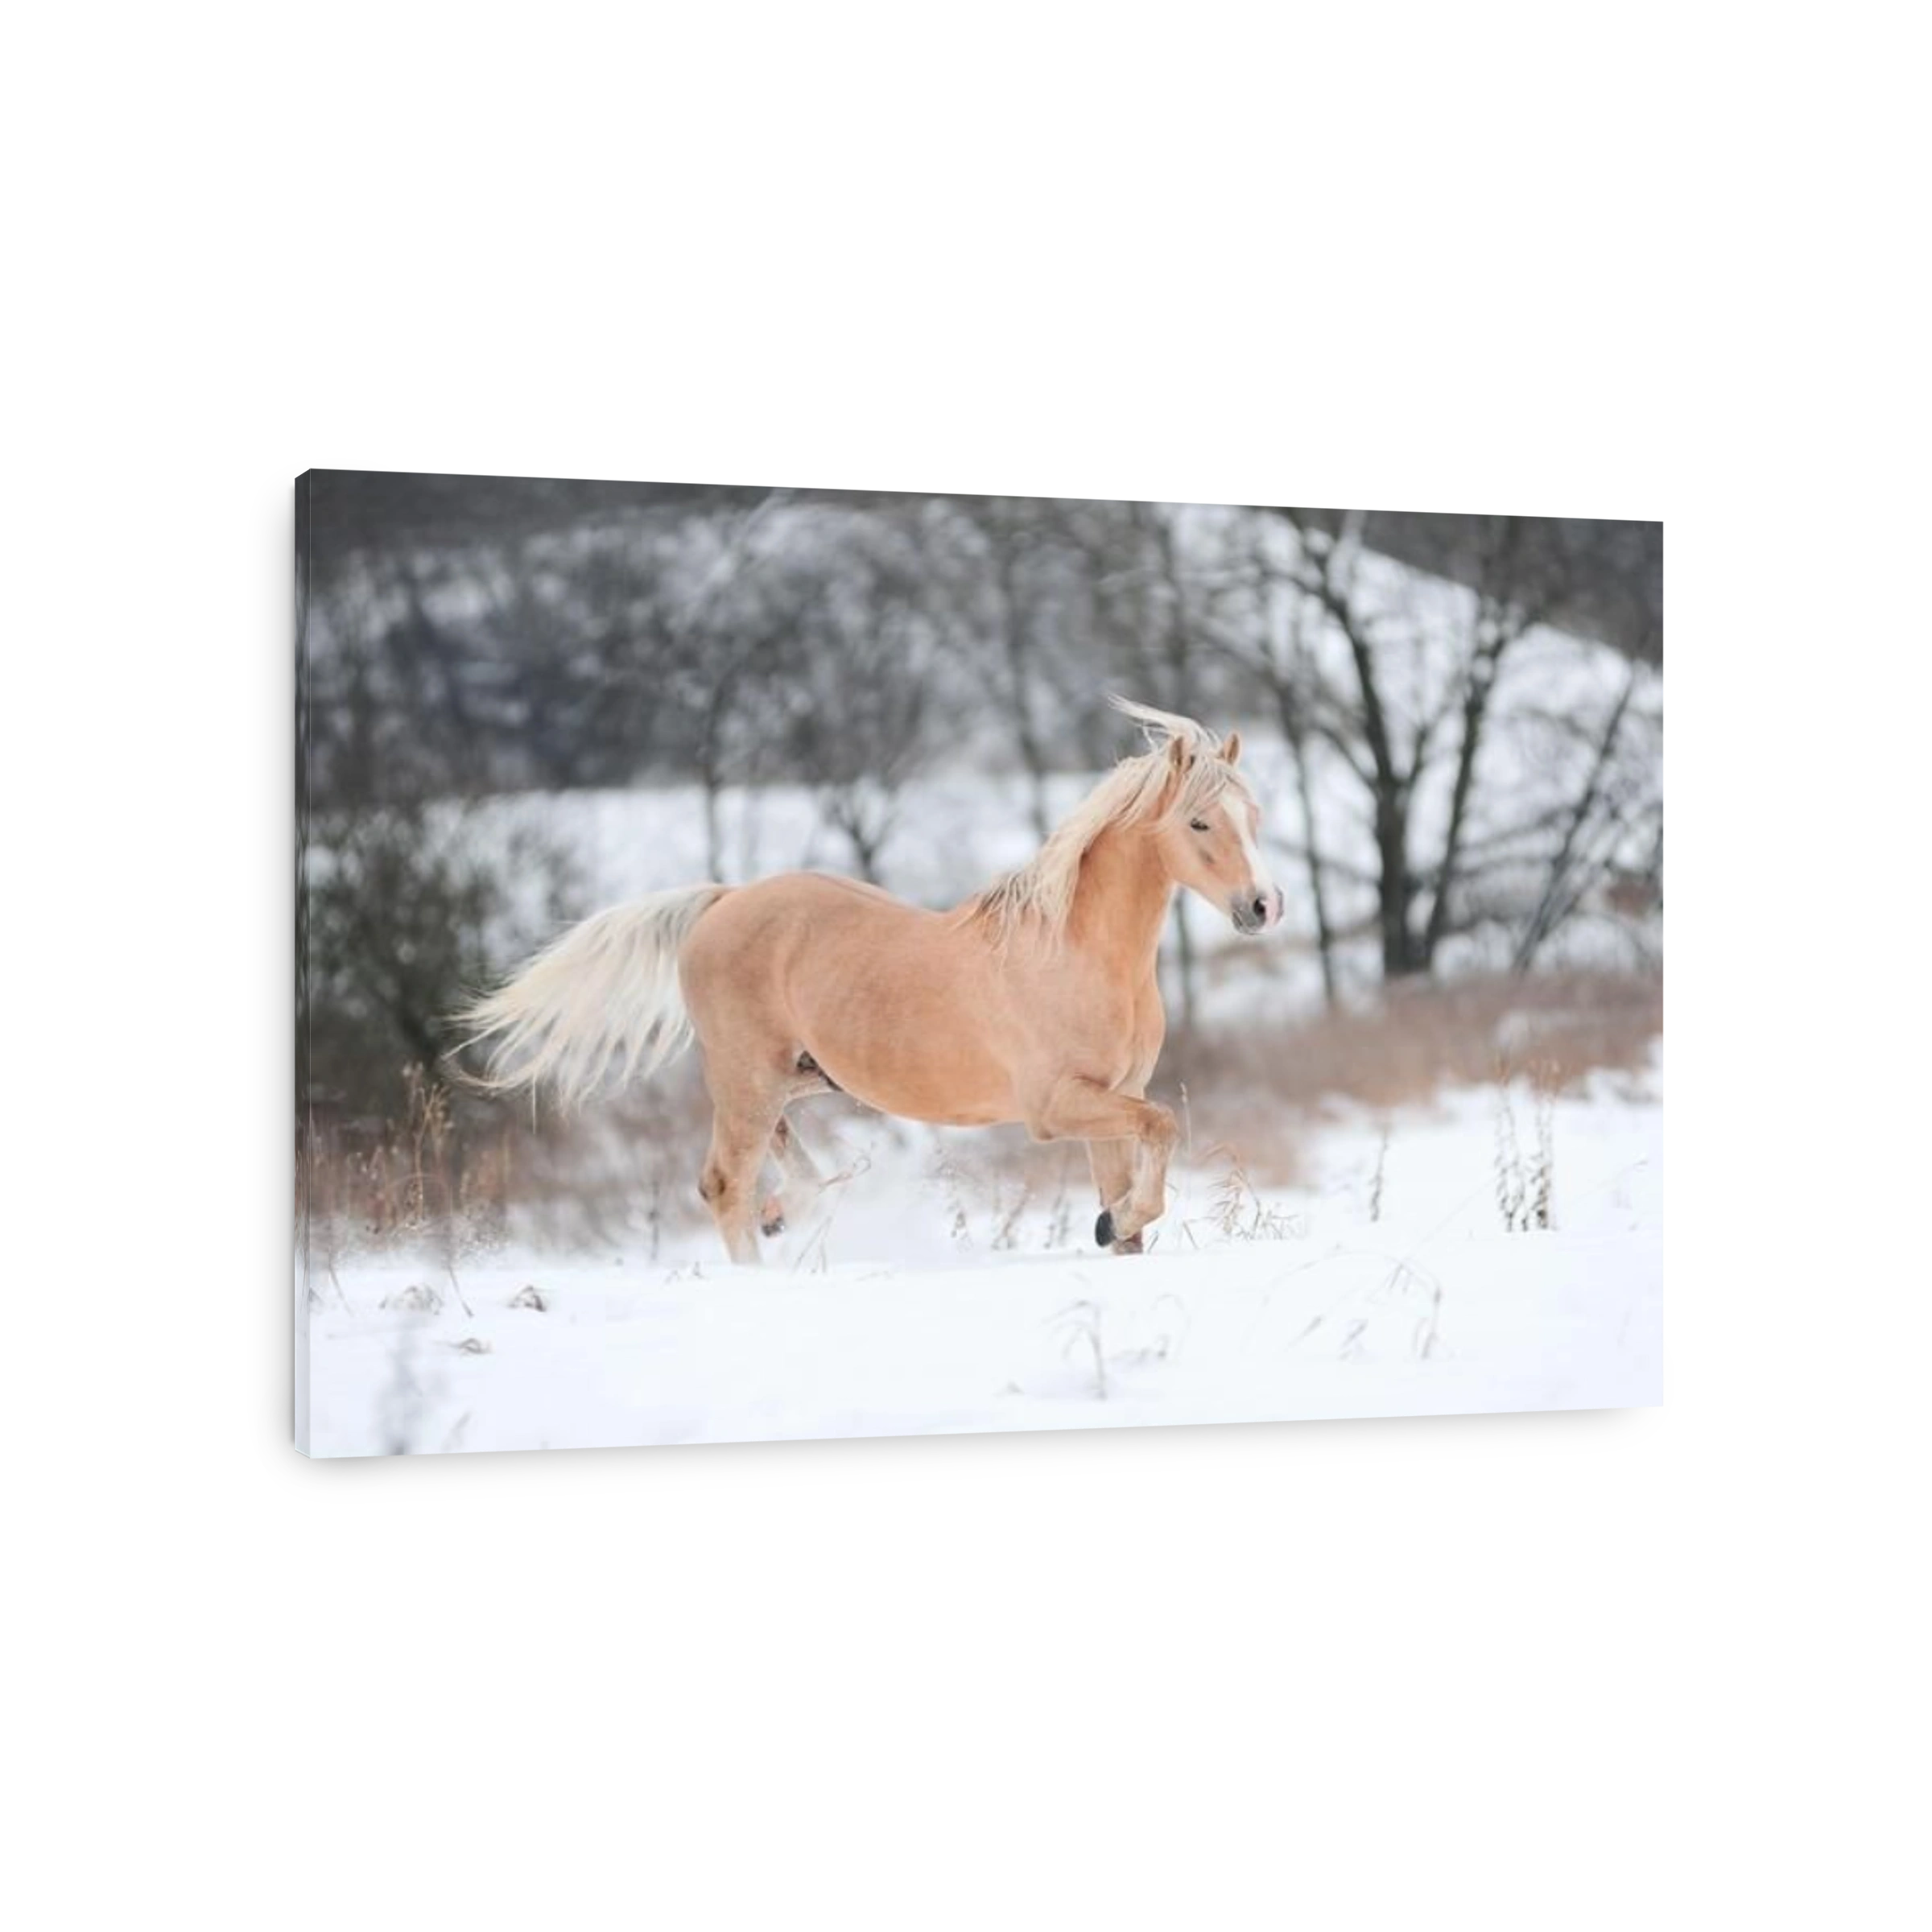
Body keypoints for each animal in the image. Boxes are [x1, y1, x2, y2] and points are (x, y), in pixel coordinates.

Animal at [456, 697, 1283, 1262]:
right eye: (1200, 823)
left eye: (1255, 816)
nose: (1263, 906)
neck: (1075, 952)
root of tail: (722, 902)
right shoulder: (1058, 1106)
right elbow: (1164, 1130)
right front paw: (1121, 1221)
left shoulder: (1116, 1097)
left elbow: (1131, 1195)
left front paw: (1115, 1226)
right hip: (747, 1077)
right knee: (724, 1185)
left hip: (796, 1075)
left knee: (772, 1161)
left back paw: (788, 1210)